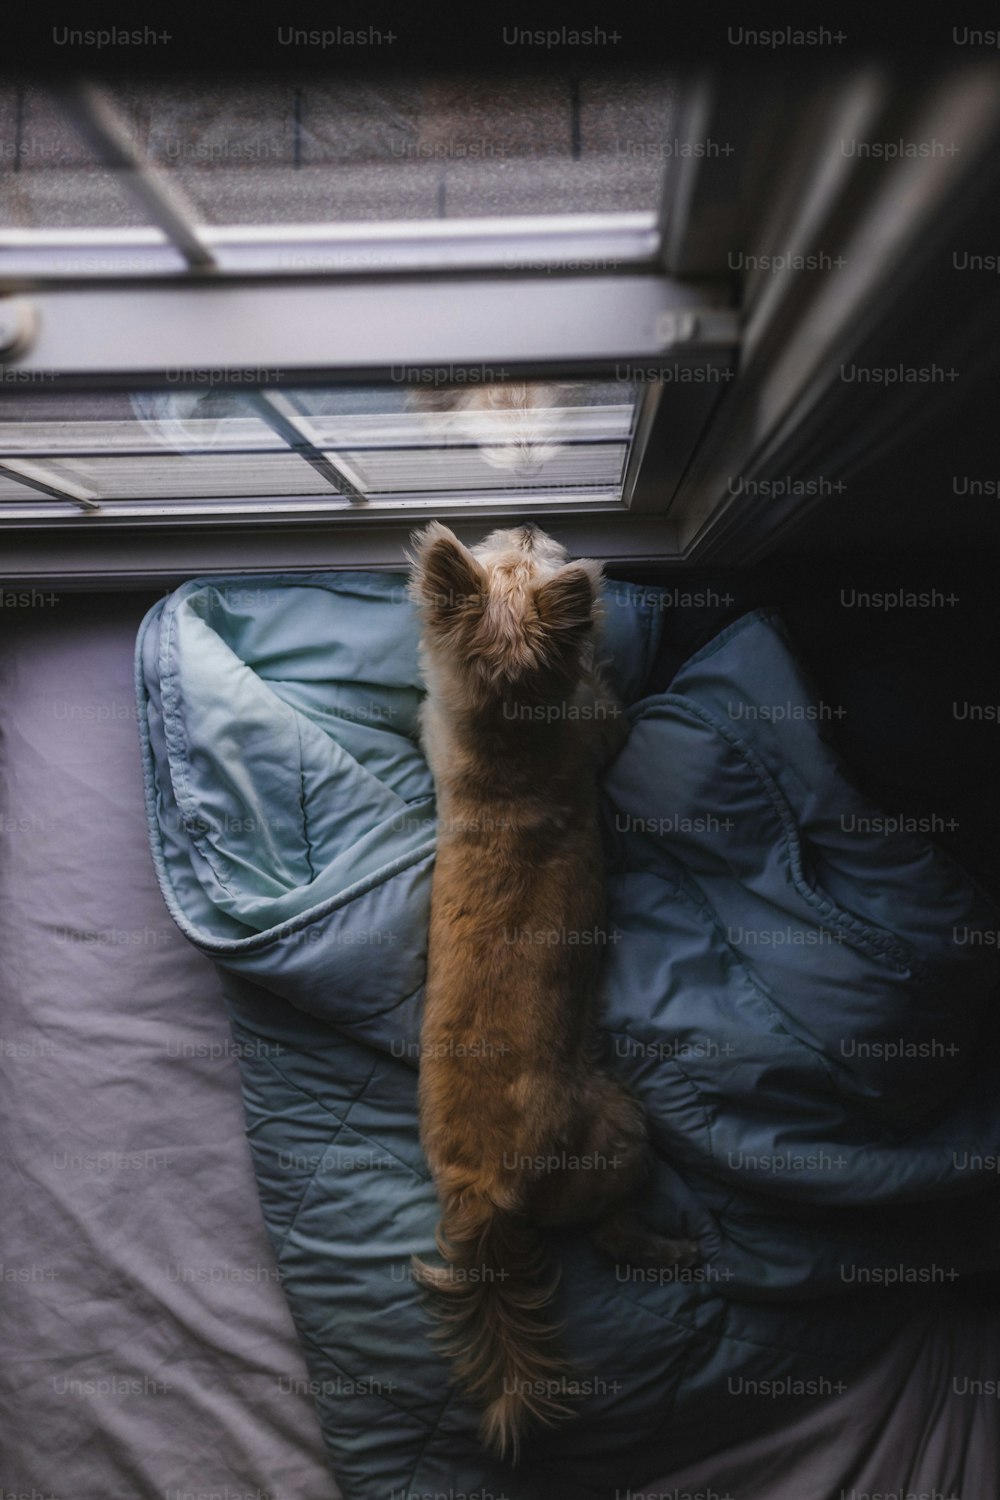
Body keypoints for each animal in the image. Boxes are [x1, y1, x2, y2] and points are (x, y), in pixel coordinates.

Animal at [407, 522, 695, 1458]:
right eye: (518, 556)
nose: (529, 524)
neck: (503, 740)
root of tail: (485, 1193)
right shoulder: (601, 728)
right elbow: (612, 708)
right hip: (624, 1133)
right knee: (609, 1233)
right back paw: (676, 1250)